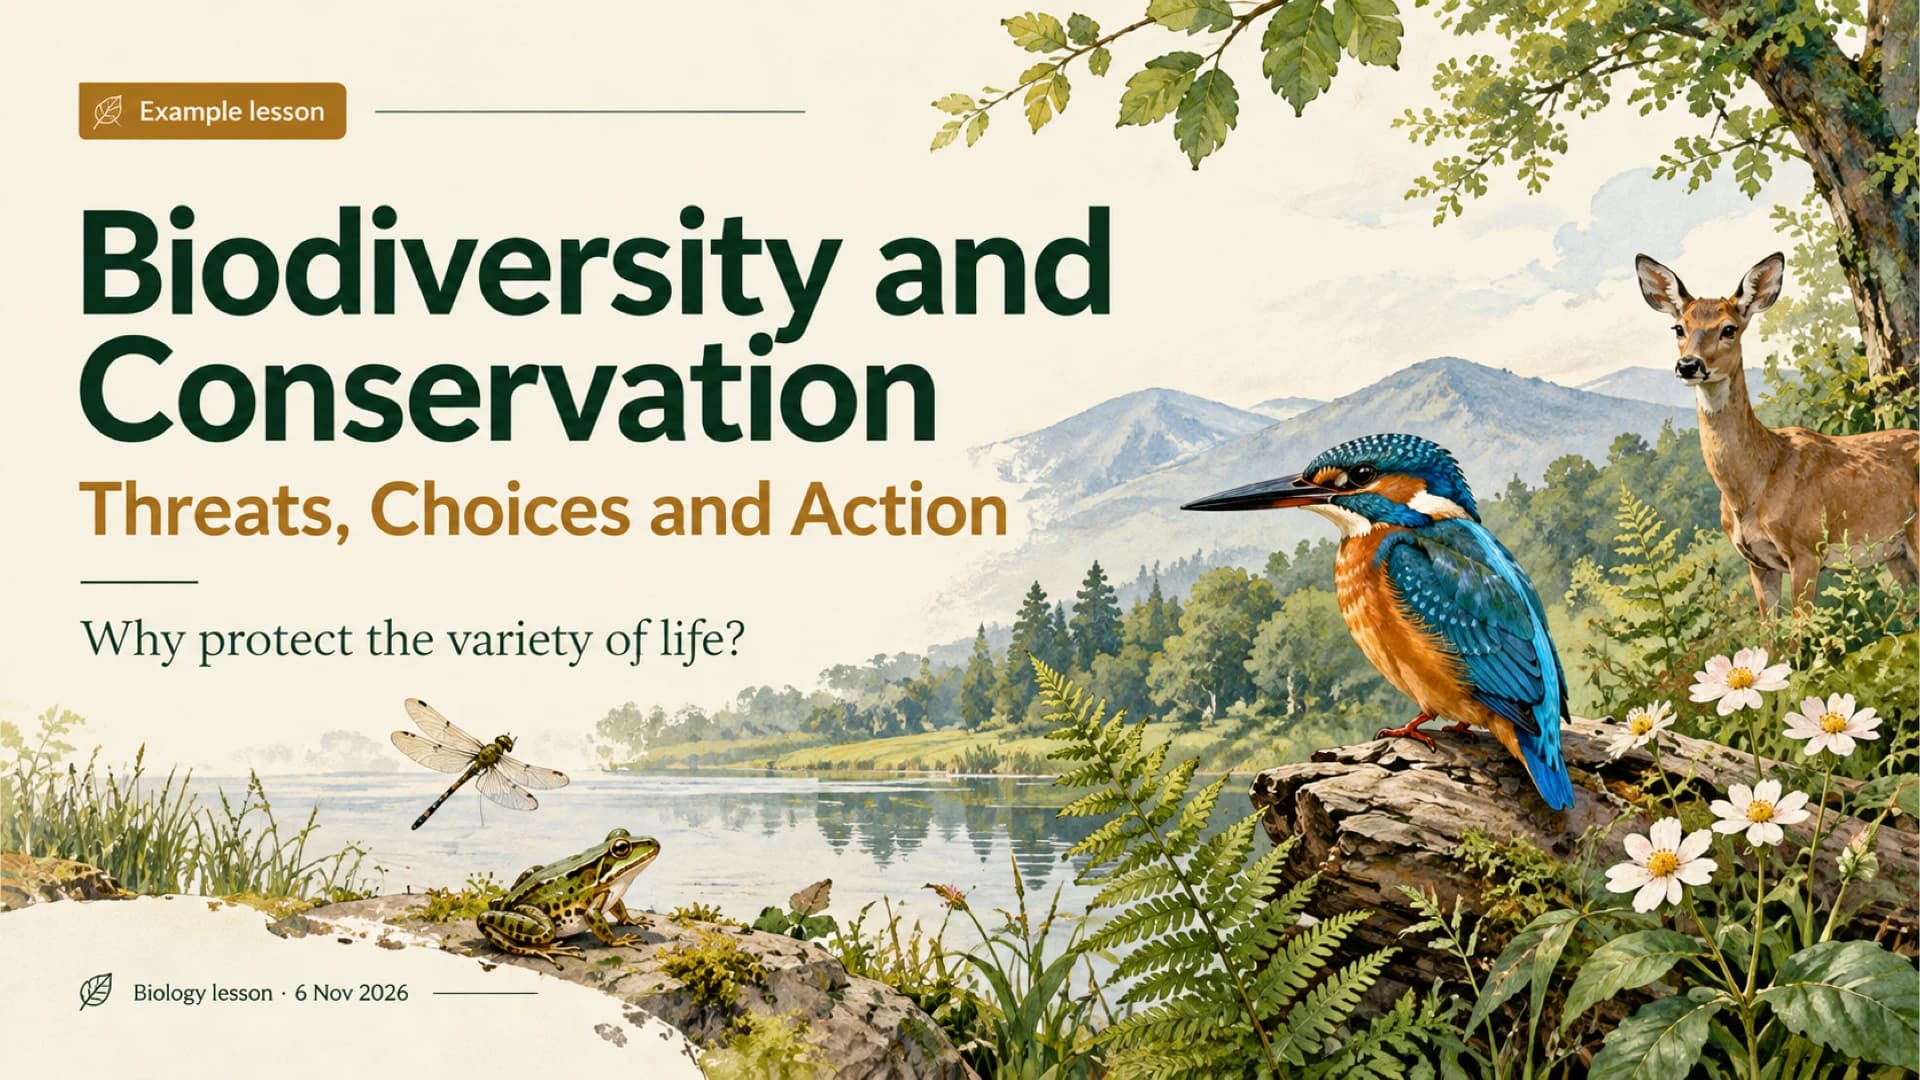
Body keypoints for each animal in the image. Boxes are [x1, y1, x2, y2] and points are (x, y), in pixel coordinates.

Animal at [1634, 251, 1918, 613]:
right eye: (1678, 328)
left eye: (1729, 329)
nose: (1688, 365)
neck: (1752, 487)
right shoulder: (1757, 562)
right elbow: (1769, 628)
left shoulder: (1806, 550)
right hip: (1896, 554)